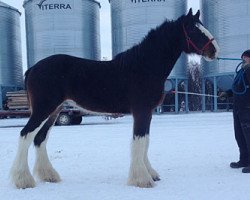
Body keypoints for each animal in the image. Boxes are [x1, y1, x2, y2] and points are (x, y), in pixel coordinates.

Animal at [10, 8, 220, 189]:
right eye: (193, 29)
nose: (215, 51)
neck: (144, 66)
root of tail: (33, 69)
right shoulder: (142, 111)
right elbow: (139, 141)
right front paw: (142, 179)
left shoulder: (147, 113)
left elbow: (145, 141)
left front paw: (151, 174)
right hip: (44, 109)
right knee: (25, 135)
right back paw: (23, 180)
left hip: (54, 111)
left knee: (39, 138)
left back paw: (49, 176)